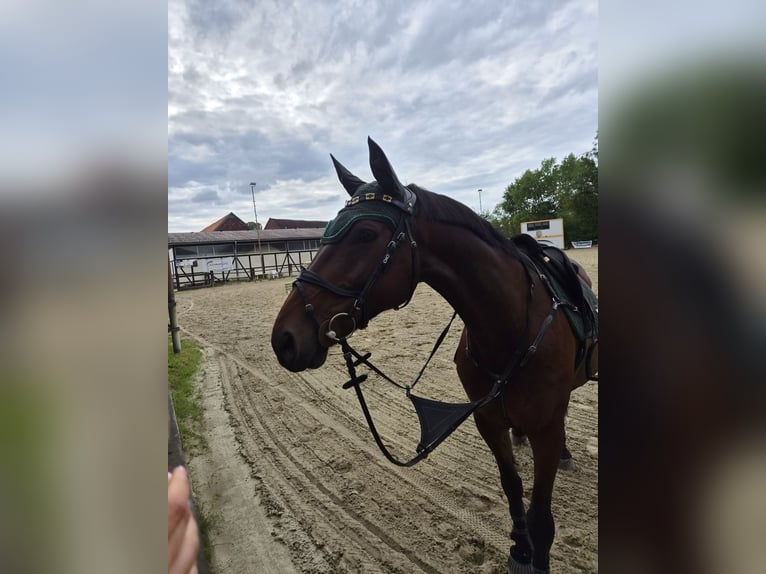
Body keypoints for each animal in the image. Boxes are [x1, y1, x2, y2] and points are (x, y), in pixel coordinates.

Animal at [272, 138, 597, 574]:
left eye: (366, 234)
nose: (284, 338)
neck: (510, 327)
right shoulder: (486, 419)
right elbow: (512, 487)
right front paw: (519, 548)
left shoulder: (546, 427)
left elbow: (541, 516)